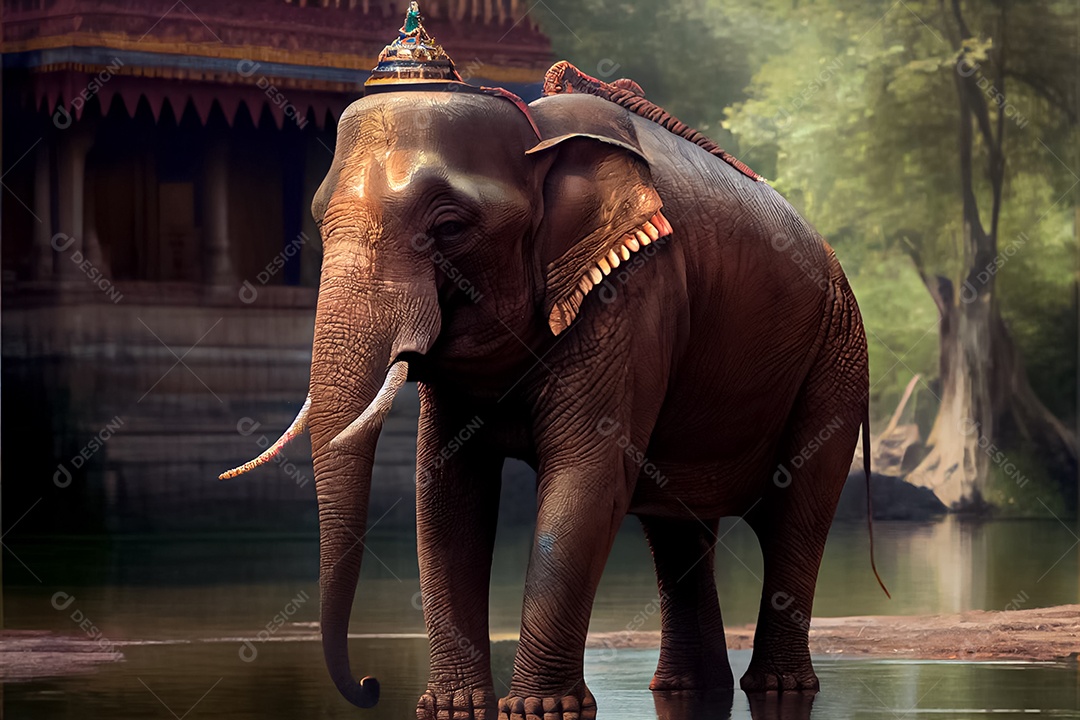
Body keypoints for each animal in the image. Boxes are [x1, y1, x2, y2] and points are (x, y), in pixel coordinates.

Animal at [222, 67, 882, 720]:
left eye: (449, 228)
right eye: (318, 224)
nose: (370, 686)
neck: (536, 136)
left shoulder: (632, 289)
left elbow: (586, 471)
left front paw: (539, 709)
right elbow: (446, 488)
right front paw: (452, 708)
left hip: (838, 357)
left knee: (797, 513)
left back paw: (778, 689)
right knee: (676, 530)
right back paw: (684, 691)